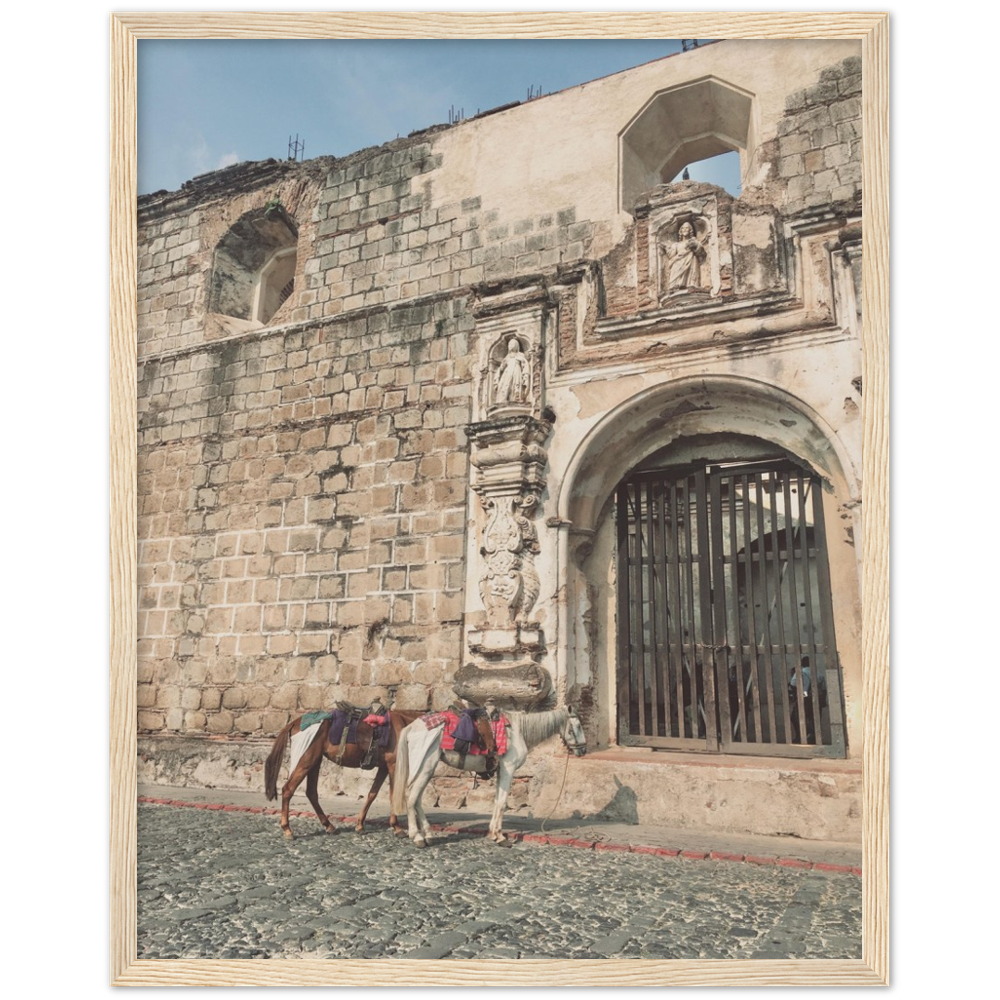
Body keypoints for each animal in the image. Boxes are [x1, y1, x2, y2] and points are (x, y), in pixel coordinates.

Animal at [264, 708, 494, 840]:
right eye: (481, 731)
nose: (493, 756)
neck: (407, 726)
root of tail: (295, 722)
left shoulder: (383, 767)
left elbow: (372, 794)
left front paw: (359, 824)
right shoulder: (393, 766)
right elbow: (393, 795)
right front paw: (398, 828)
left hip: (315, 760)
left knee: (311, 792)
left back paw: (329, 826)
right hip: (307, 758)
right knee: (288, 789)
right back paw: (287, 829)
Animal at [390, 708, 584, 848]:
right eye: (578, 726)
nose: (583, 750)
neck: (517, 731)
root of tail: (411, 727)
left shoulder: (501, 771)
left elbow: (497, 801)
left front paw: (494, 834)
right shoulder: (508, 770)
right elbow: (503, 803)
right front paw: (500, 837)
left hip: (427, 769)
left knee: (416, 799)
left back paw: (428, 835)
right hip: (424, 766)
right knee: (411, 798)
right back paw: (417, 837)